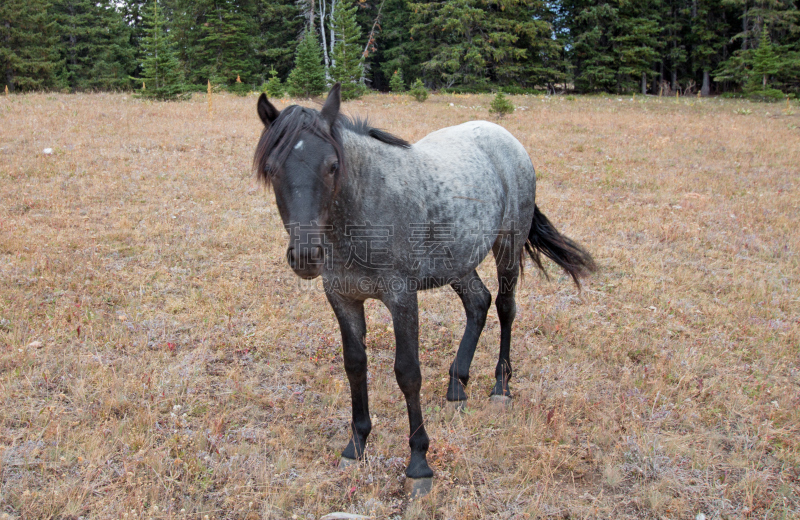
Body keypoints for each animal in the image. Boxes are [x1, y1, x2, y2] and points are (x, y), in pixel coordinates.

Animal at [250, 82, 592, 496]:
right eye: (272, 169)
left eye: (332, 166)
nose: (305, 255)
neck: (363, 212)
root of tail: (505, 137)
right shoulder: (343, 298)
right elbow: (355, 365)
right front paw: (356, 444)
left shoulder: (402, 298)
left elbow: (408, 373)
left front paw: (418, 463)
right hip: (459, 261)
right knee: (478, 303)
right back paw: (457, 386)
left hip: (507, 247)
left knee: (505, 308)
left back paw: (500, 388)